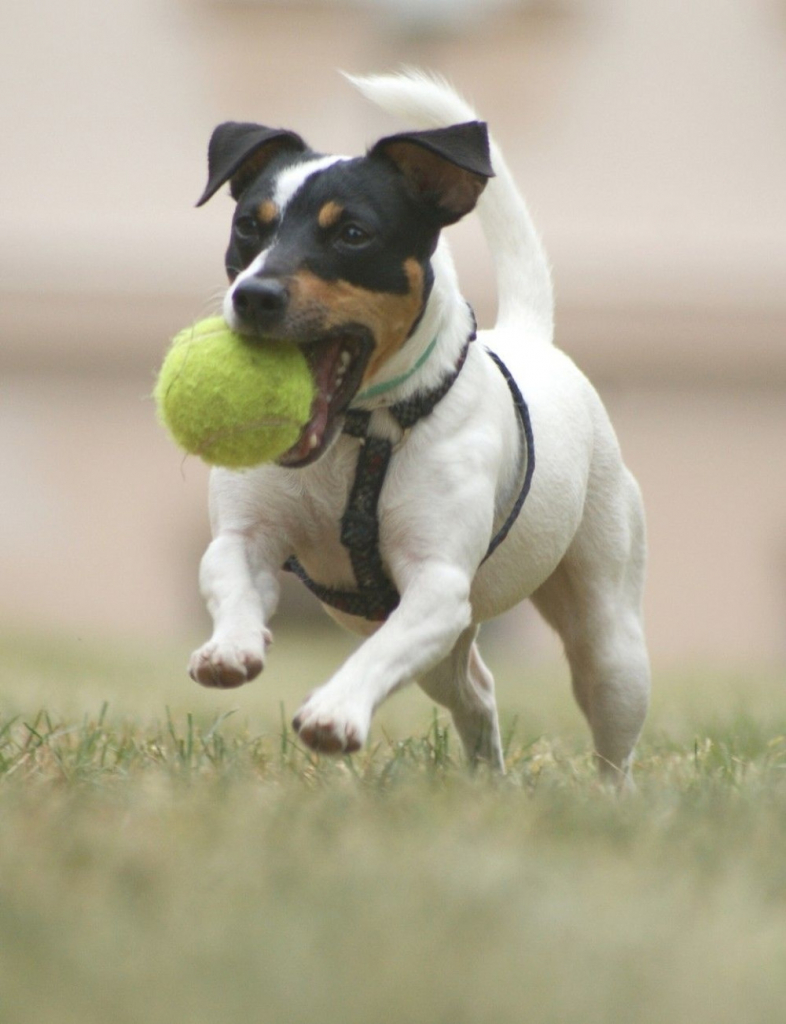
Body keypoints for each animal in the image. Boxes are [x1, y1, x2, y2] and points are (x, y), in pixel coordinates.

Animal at [187, 70, 646, 782]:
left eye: (352, 233)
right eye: (247, 227)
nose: (253, 296)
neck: (356, 437)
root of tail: (531, 336)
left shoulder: (435, 585)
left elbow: (378, 655)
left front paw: (336, 711)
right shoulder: (245, 539)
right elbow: (232, 579)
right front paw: (231, 647)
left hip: (609, 638)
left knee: (611, 736)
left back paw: (606, 796)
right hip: (449, 656)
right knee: (476, 690)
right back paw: (487, 781)